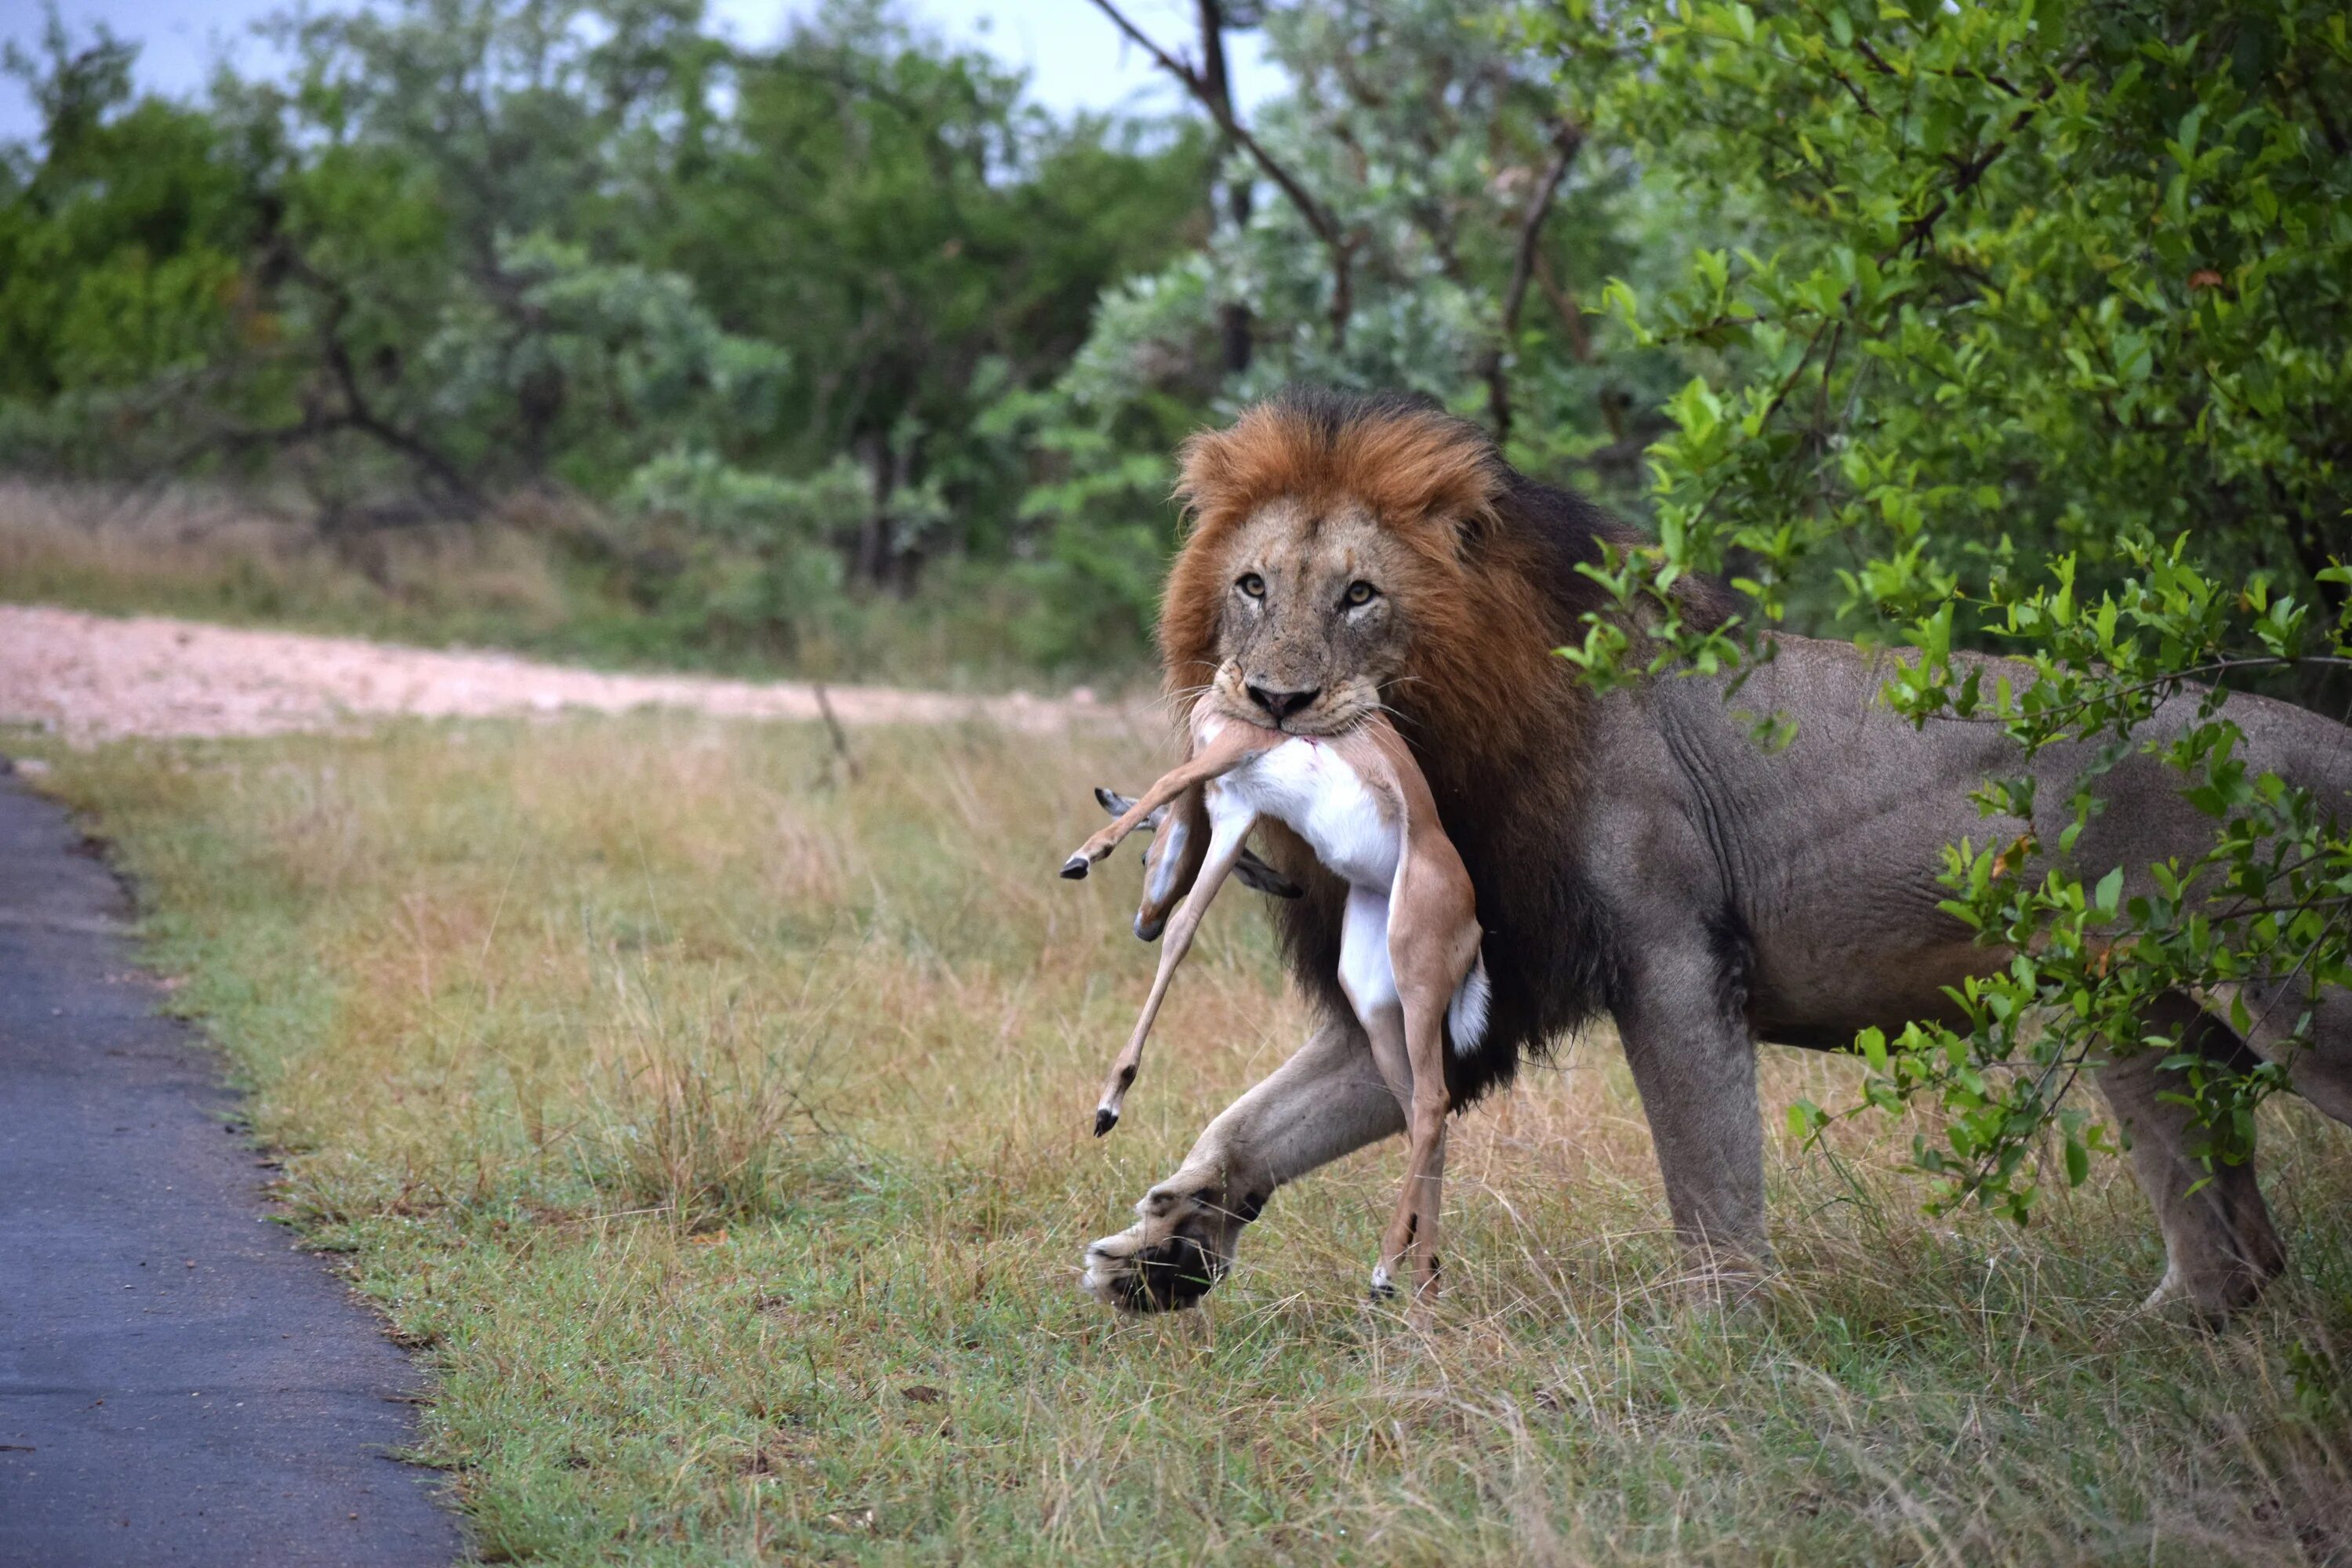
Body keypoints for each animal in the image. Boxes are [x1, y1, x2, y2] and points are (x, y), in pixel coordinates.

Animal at [1077, 385, 2352, 1316]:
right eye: (1252, 584)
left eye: (1358, 596)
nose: (1276, 702)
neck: (1464, 733)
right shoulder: (1480, 985)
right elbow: (1259, 1119)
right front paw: (1163, 1246)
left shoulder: (1675, 955)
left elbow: (1709, 1173)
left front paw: (1715, 1335)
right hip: (2134, 1006)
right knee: (2227, 1212)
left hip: (2295, 1003)